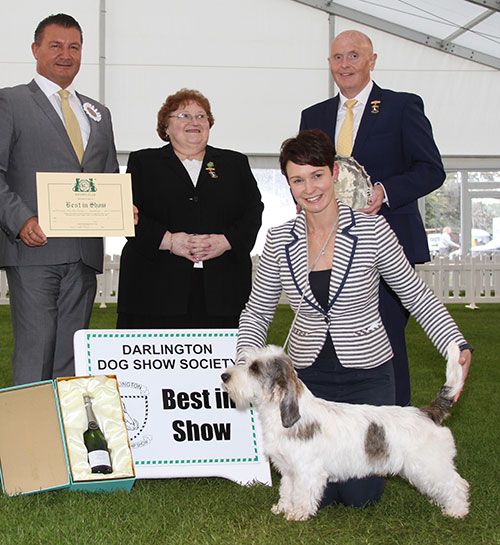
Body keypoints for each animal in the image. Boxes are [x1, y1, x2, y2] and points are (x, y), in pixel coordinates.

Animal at [221, 342, 466, 520]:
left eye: (254, 368)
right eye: (245, 362)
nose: (224, 376)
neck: (280, 413)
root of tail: (428, 412)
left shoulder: (307, 470)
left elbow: (302, 493)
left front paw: (298, 513)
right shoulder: (289, 470)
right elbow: (287, 491)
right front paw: (283, 508)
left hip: (429, 465)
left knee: (457, 483)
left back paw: (457, 510)